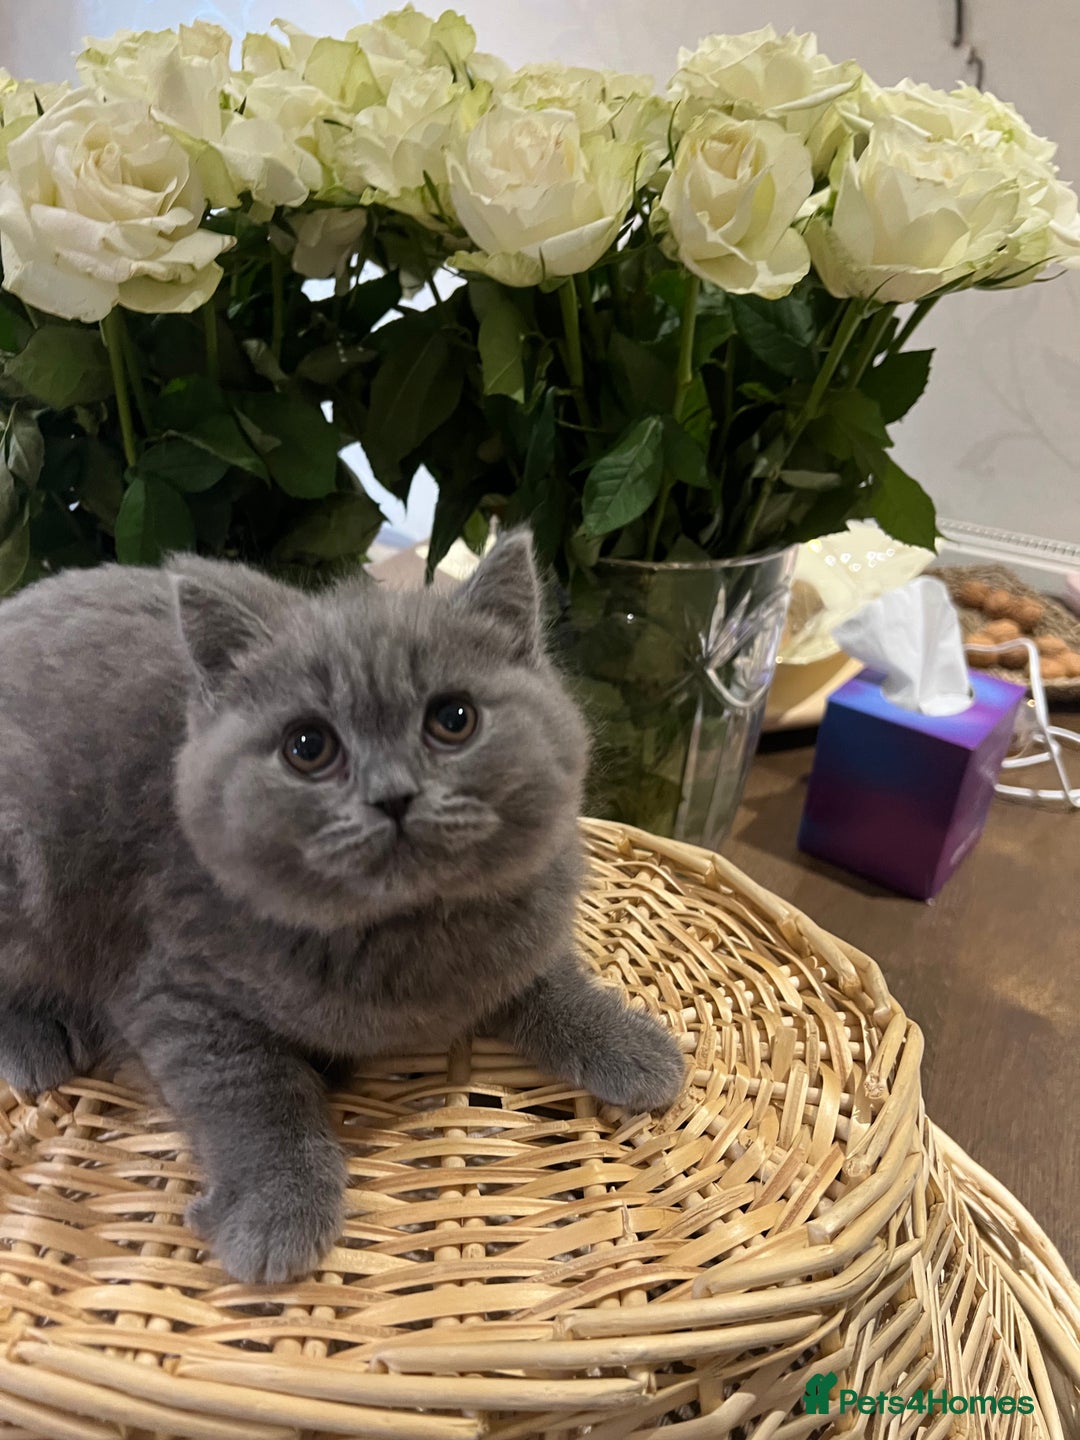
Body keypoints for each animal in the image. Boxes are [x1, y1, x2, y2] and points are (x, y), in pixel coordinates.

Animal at [0, 531, 685, 1283]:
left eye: (454, 720)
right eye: (308, 747)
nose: (393, 796)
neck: (405, 933)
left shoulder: (520, 924)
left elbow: (545, 977)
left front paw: (629, 1044)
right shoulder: (170, 984)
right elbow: (250, 1089)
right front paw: (278, 1211)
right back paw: (35, 1041)